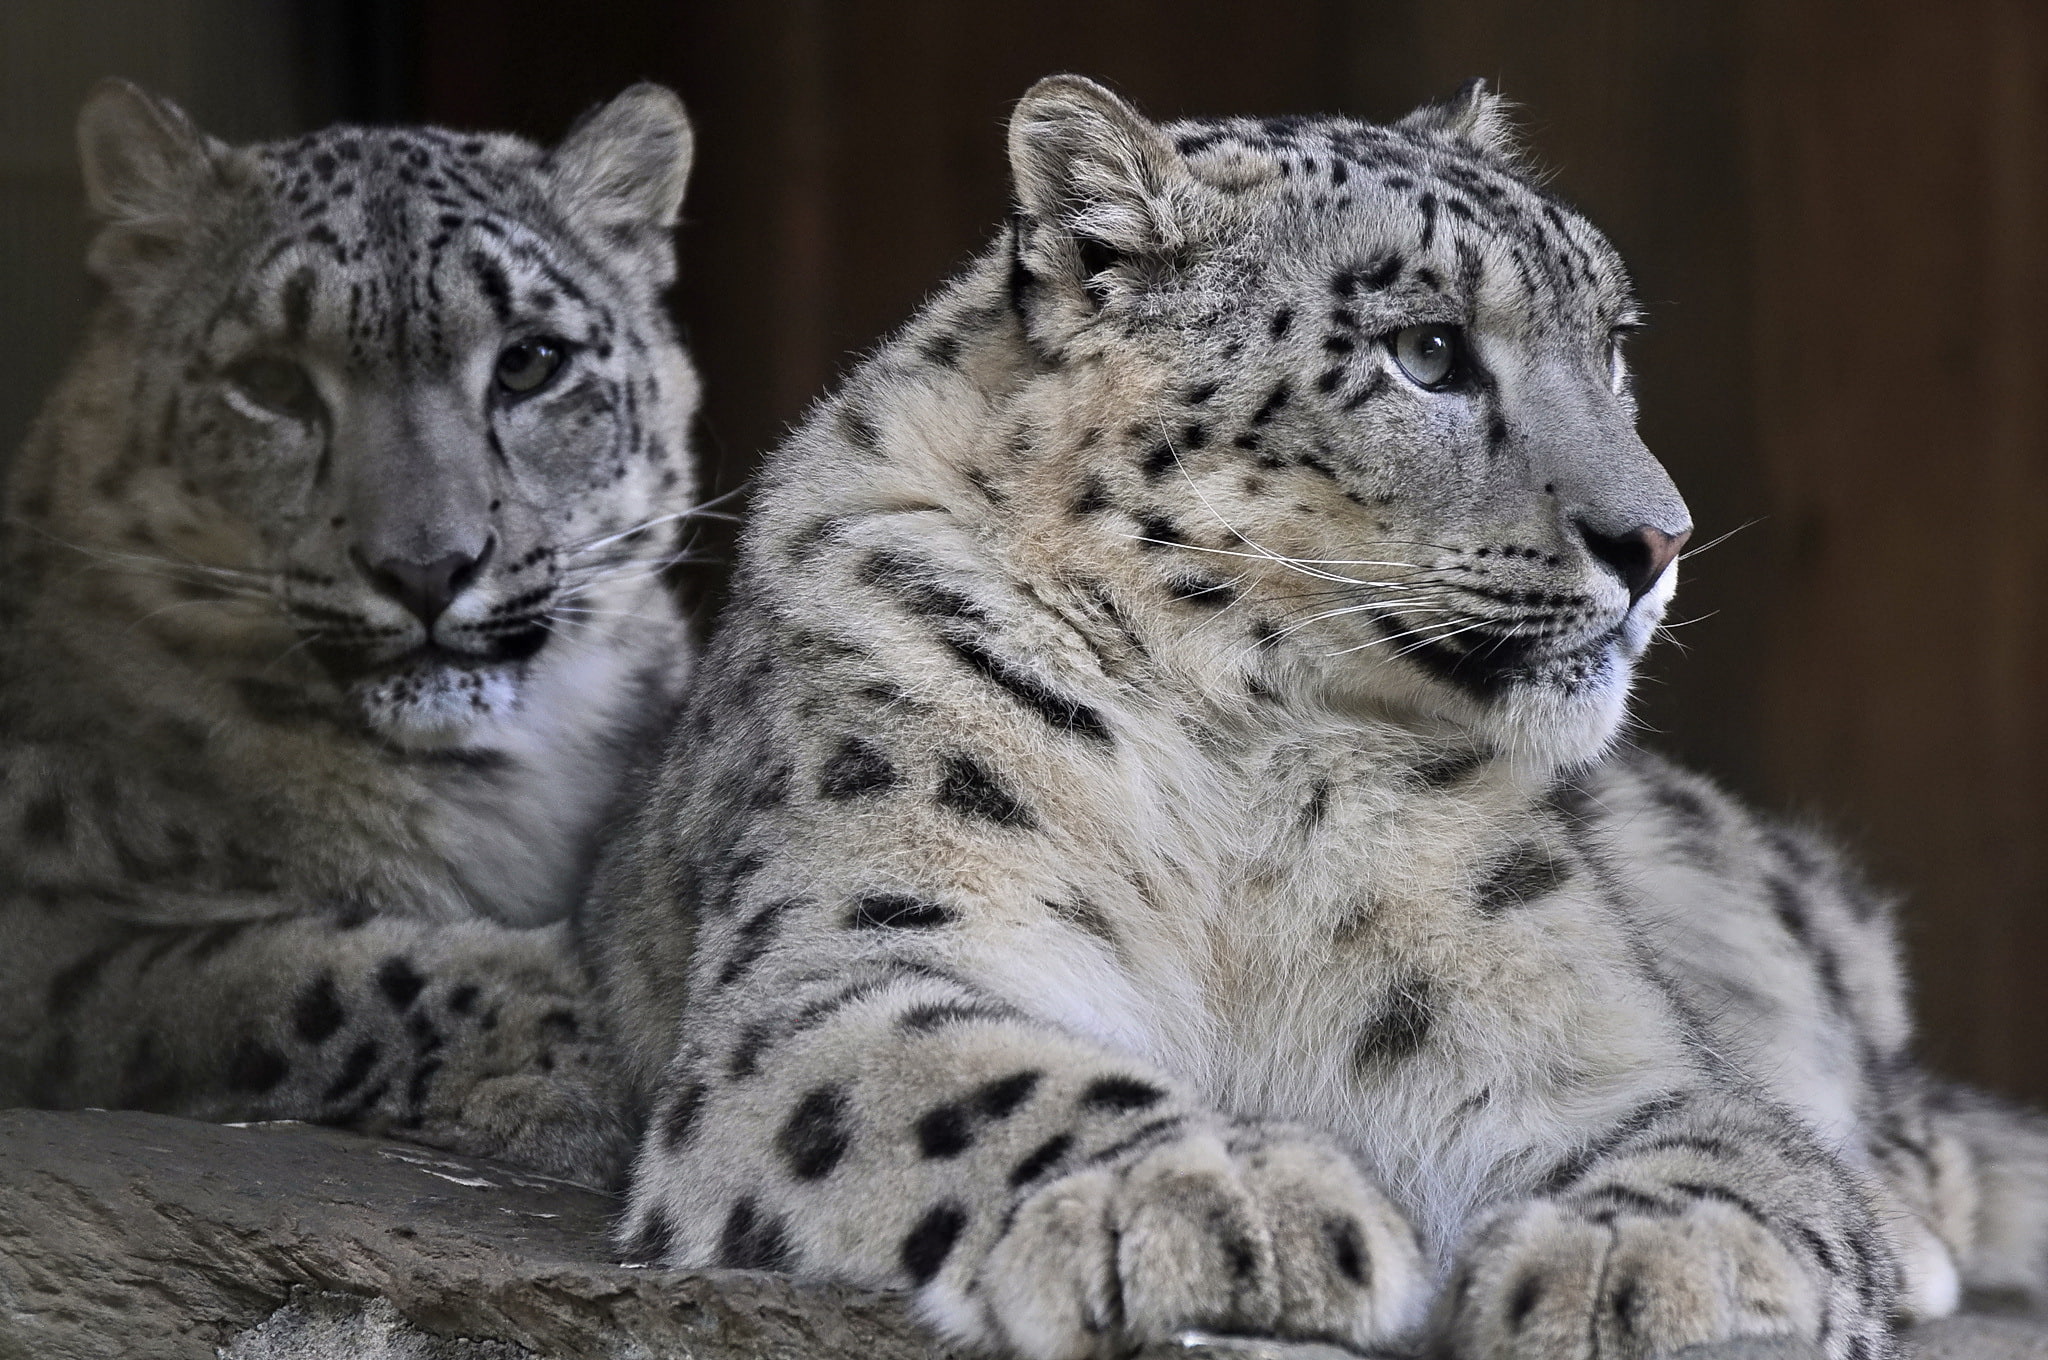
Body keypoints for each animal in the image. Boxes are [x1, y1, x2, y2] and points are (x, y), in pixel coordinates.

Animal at [0, 79, 704, 1187]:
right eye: (272, 382)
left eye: (530, 361)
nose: (427, 567)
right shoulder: (45, 941)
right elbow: (264, 975)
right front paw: (578, 1054)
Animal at [587, 75, 2048, 1357]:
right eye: (1428, 350)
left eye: (1612, 345)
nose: (1658, 539)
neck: (1242, 765)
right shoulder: (852, 956)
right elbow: (977, 1079)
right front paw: (1215, 1192)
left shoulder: (1584, 1039)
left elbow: (1720, 1146)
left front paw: (1647, 1261)